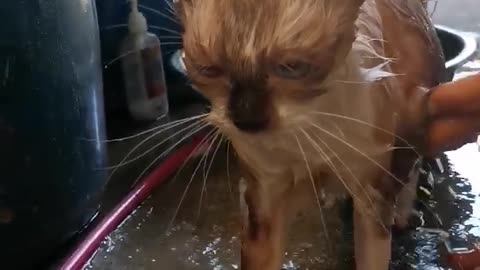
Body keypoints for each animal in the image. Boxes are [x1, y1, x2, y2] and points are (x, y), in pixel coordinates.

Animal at [174, 1, 444, 268]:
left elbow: (372, 255)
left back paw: (402, 214)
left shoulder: (372, 191)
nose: (247, 117)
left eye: (291, 67)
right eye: (209, 70)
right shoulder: (265, 192)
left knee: (411, 170)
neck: (308, 133)